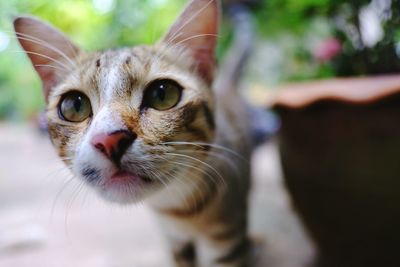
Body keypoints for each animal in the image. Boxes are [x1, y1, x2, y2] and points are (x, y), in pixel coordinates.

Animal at [14, 0, 258, 266]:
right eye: (74, 106)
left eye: (163, 94)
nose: (109, 139)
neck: (177, 208)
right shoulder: (174, 240)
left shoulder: (226, 243)